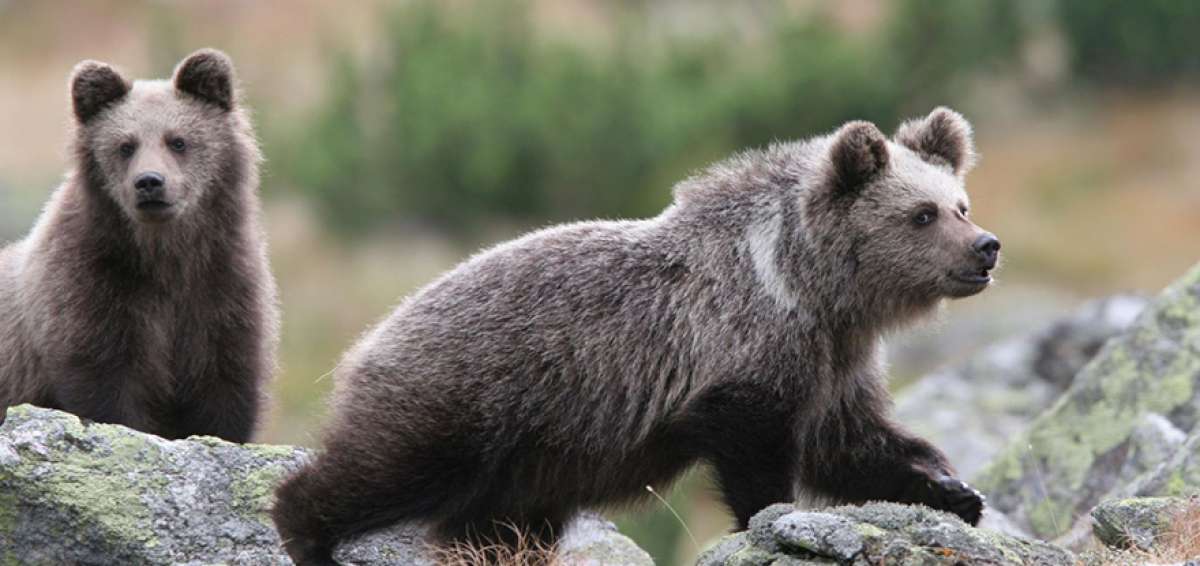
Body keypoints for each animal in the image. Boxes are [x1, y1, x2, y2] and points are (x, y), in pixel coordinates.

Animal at [0, 49, 277, 443]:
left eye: (178, 141)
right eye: (125, 145)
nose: (149, 182)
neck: (164, 258)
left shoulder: (220, 290)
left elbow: (223, 388)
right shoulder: (92, 292)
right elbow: (109, 391)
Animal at [271, 108, 999, 564]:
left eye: (960, 203)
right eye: (922, 214)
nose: (986, 247)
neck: (814, 291)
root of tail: (369, 337)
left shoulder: (835, 363)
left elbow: (852, 443)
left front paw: (951, 488)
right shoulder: (742, 349)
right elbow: (755, 447)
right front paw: (769, 515)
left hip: (524, 465)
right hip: (464, 400)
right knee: (378, 467)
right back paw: (305, 532)